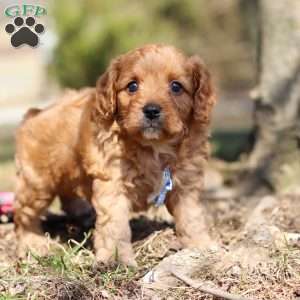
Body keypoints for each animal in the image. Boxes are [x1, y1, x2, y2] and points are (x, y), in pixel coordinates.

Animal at [14, 44, 216, 264]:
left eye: (176, 86)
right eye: (132, 86)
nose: (151, 110)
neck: (153, 146)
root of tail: (36, 113)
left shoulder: (187, 183)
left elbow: (191, 217)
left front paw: (201, 246)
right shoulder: (113, 182)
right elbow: (115, 225)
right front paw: (115, 258)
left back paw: (80, 211)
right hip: (38, 183)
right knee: (24, 215)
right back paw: (33, 243)